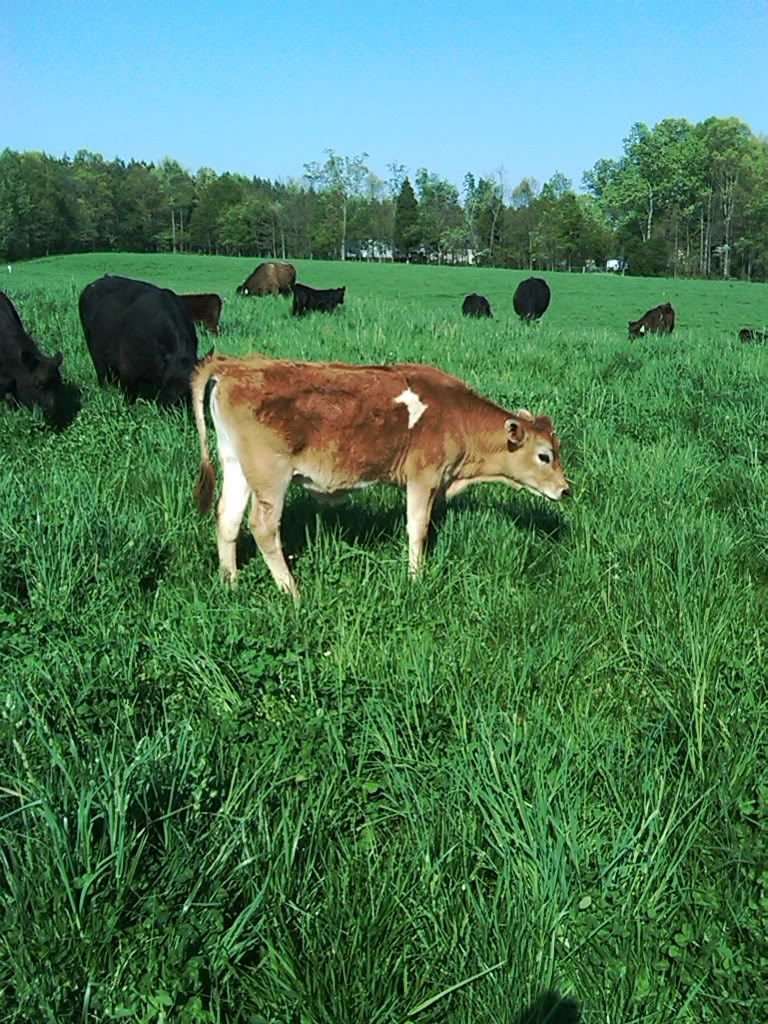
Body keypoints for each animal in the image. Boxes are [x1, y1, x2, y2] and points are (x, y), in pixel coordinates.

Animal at [78, 276, 201, 405]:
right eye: (166, 381)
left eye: (190, 387)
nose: (170, 406)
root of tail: (92, 285)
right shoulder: (128, 368)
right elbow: (129, 396)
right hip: (95, 351)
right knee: (102, 373)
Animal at [191, 354, 571, 600]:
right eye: (544, 455)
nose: (566, 490)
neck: (455, 415)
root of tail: (236, 364)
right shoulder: (423, 479)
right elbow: (417, 529)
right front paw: (416, 579)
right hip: (271, 475)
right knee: (263, 527)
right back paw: (291, 591)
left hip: (237, 466)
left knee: (228, 519)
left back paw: (230, 583)